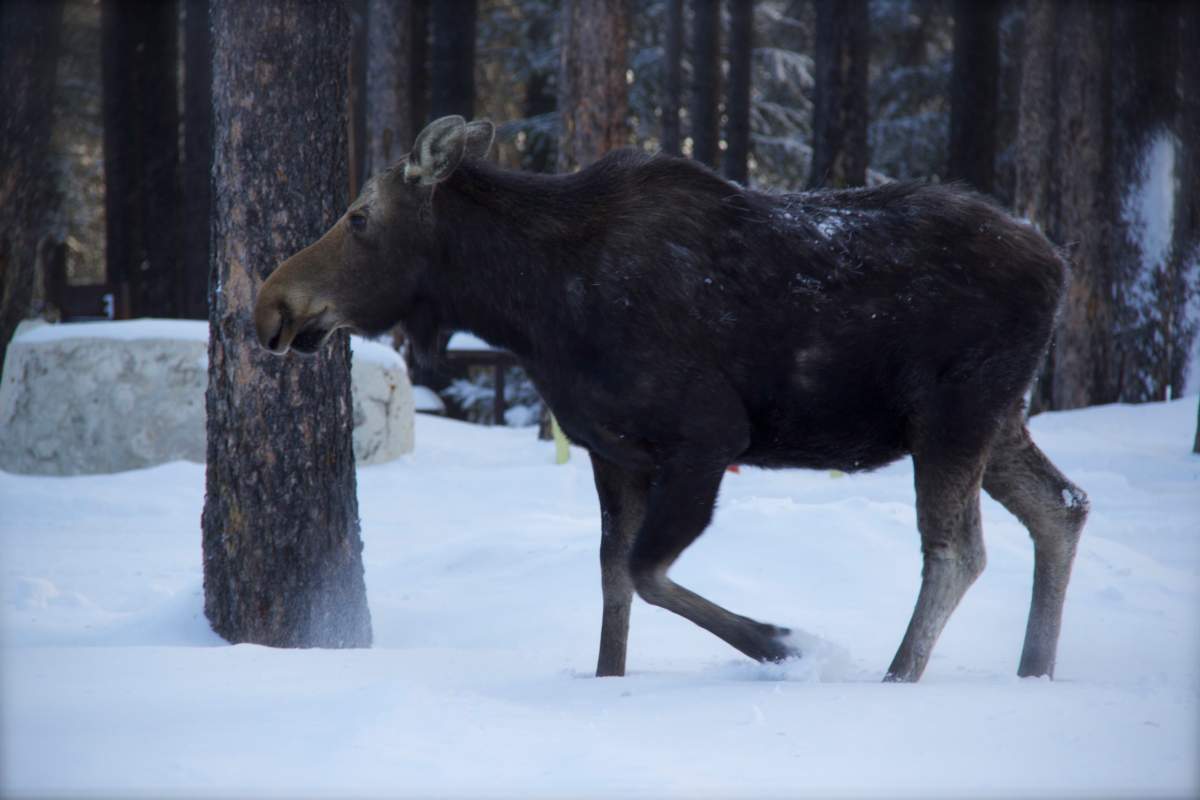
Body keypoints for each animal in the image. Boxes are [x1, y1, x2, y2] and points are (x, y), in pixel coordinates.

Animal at [254, 115, 1089, 682]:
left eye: (359, 218)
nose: (269, 305)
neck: (528, 309)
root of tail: (1058, 265)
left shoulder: (708, 436)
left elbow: (647, 572)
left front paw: (784, 643)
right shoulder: (613, 451)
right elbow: (614, 582)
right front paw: (610, 681)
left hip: (955, 411)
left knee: (958, 551)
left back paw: (897, 676)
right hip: (991, 416)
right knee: (1062, 506)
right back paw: (1034, 670)